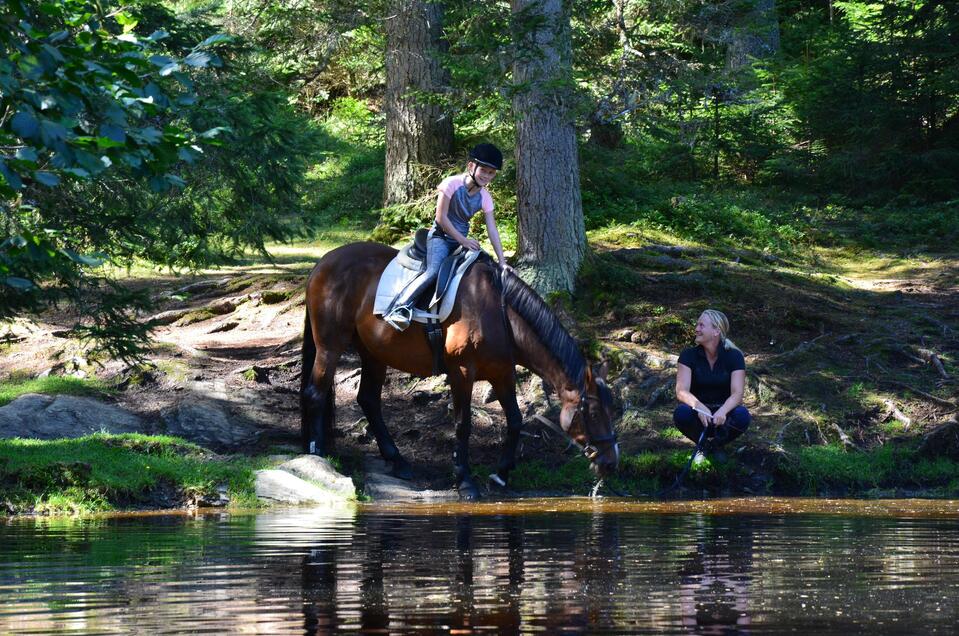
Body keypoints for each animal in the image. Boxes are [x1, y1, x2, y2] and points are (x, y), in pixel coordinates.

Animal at [300, 241, 620, 500]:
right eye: (593, 413)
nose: (611, 462)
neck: (500, 314)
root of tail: (323, 263)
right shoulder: (463, 372)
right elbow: (463, 424)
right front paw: (464, 480)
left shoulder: (502, 373)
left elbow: (516, 420)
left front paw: (501, 474)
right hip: (330, 346)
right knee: (315, 392)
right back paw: (317, 453)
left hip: (374, 353)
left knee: (368, 400)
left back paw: (397, 461)